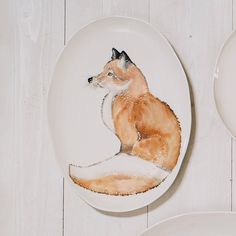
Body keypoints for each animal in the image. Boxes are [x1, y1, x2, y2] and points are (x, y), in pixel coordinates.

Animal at [69, 48, 182, 195]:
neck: (128, 95)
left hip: (139, 146)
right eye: (102, 70)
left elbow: (122, 150)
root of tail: (168, 171)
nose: (89, 79)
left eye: (110, 74)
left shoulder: (129, 138)